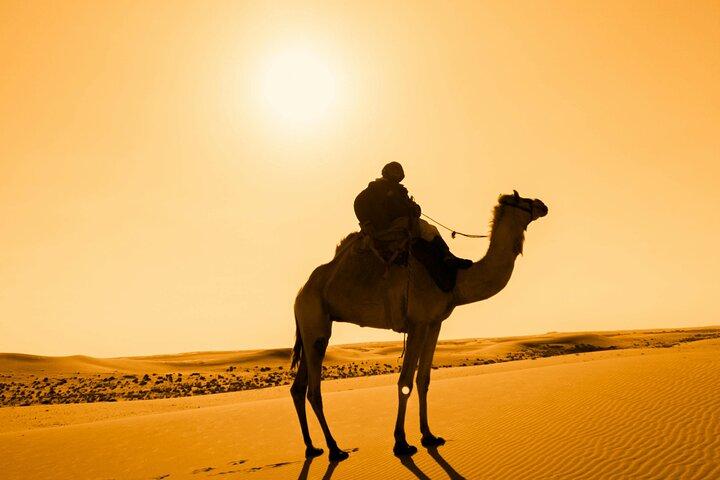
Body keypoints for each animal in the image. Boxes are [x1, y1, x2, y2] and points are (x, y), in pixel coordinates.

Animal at [290, 191, 548, 461]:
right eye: (523, 201)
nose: (543, 205)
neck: (455, 278)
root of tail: (301, 292)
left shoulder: (434, 323)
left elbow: (423, 379)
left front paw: (429, 436)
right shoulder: (417, 323)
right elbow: (404, 382)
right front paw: (401, 443)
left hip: (311, 328)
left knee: (299, 388)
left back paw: (312, 448)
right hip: (315, 320)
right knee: (313, 390)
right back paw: (335, 449)